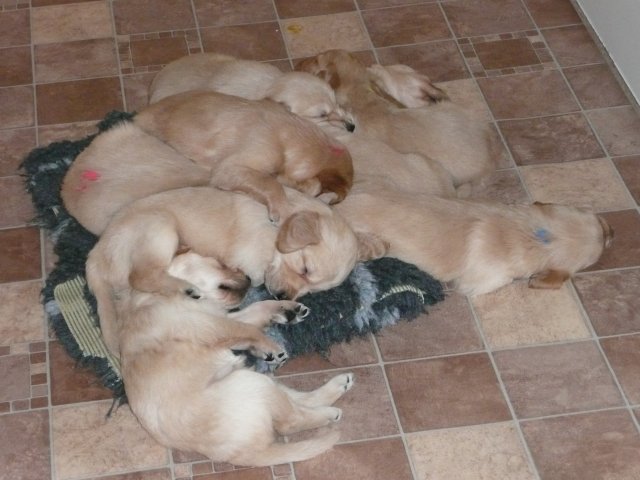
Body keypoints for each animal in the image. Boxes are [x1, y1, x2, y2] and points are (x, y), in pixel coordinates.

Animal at [86, 185, 388, 354]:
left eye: (313, 289)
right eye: (304, 269)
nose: (281, 296)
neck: (274, 234)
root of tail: (95, 257)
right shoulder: (252, 265)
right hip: (159, 227)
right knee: (141, 275)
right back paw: (184, 287)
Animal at [114, 250, 354, 466]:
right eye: (219, 263)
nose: (248, 278)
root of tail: (246, 455)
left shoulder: (220, 316)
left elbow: (256, 310)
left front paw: (285, 310)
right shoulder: (209, 323)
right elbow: (247, 328)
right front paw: (271, 345)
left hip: (250, 378)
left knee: (300, 401)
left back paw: (338, 386)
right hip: (251, 384)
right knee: (290, 420)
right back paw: (329, 412)